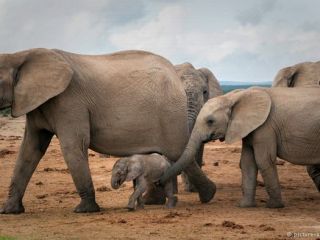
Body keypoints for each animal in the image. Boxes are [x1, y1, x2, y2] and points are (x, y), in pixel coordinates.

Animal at [0, 48, 216, 214]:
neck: (20, 55)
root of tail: (173, 70)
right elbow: (30, 148)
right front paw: (9, 211)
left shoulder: (69, 102)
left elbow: (73, 146)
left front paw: (85, 210)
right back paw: (155, 201)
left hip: (169, 112)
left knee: (176, 151)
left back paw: (208, 195)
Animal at [161, 87, 320, 208]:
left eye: (210, 121)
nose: (158, 182)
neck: (234, 96)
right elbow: (247, 163)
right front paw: (244, 206)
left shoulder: (266, 127)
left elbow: (263, 161)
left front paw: (274, 206)